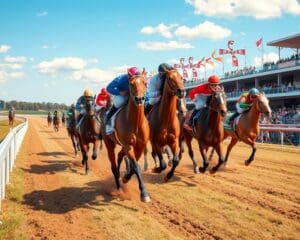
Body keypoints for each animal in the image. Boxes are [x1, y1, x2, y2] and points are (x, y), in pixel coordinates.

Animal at [102, 70, 150, 202]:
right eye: (131, 84)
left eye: (145, 83)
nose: (139, 99)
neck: (136, 123)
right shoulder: (128, 145)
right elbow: (135, 166)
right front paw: (144, 193)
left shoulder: (140, 146)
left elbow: (134, 166)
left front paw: (126, 177)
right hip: (109, 144)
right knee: (113, 165)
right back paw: (118, 187)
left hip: (122, 146)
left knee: (119, 156)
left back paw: (121, 178)